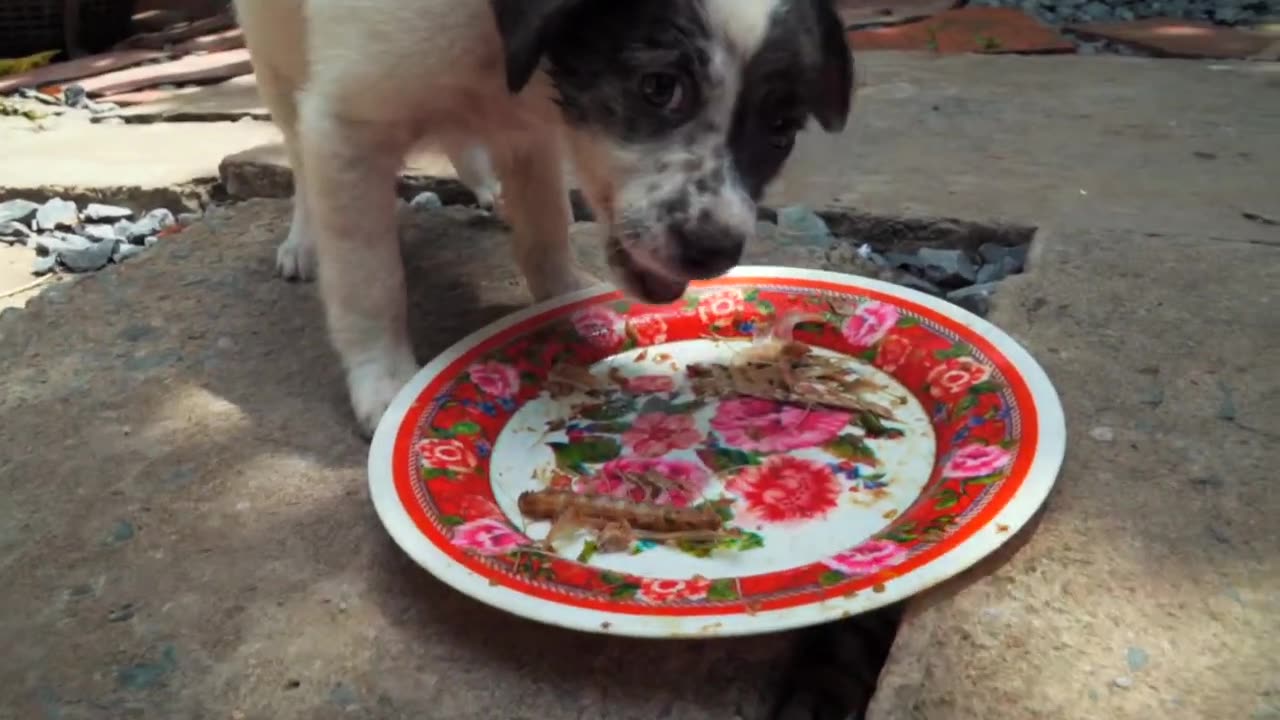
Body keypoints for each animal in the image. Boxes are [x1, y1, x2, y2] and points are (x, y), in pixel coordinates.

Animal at [235, 0, 855, 435]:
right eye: (658, 87)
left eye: (782, 127)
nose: (714, 251)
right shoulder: (348, 126)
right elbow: (369, 279)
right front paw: (381, 380)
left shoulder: (531, 127)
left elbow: (545, 221)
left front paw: (564, 296)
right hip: (273, 49)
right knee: (294, 142)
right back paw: (304, 241)